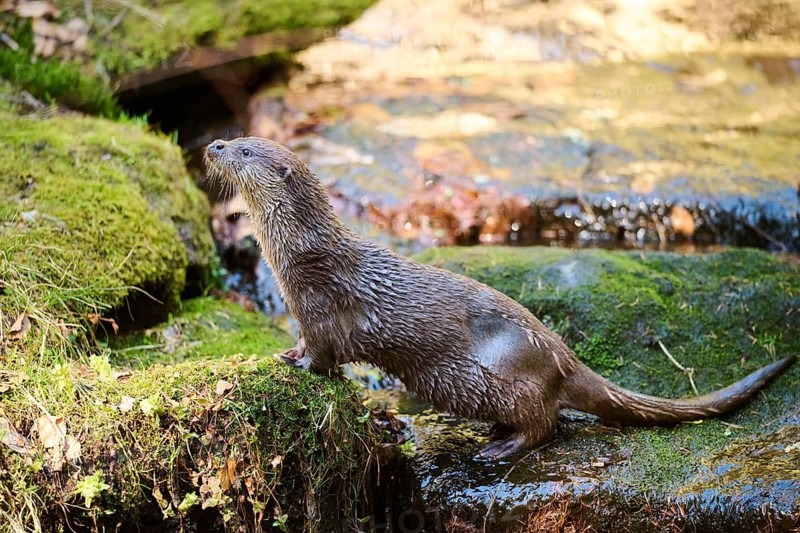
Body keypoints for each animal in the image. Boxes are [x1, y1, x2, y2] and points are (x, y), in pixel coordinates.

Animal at [204, 136, 796, 459]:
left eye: (245, 149)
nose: (213, 145)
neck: (300, 256)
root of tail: (563, 354)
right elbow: (306, 345)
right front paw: (285, 353)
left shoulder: (322, 308)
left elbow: (325, 355)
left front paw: (298, 365)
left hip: (506, 371)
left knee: (545, 423)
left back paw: (499, 447)